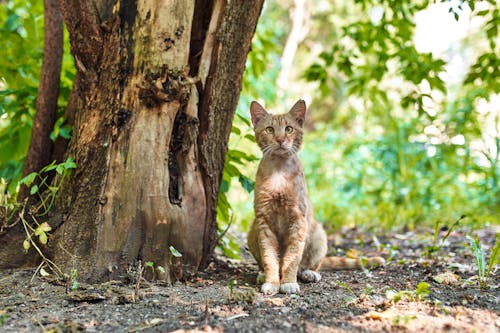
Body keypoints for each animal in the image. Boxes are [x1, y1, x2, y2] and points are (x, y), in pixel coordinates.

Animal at [248, 98, 384, 294]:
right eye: (270, 129)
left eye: (289, 129)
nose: (280, 140)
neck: (279, 173)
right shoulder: (263, 221)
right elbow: (269, 257)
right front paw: (272, 282)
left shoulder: (298, 219)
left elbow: (292, 257)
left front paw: (288, 282)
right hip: (252, 230)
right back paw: (261, 274)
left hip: (319, 233)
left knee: (311, 264)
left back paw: (309, 273)